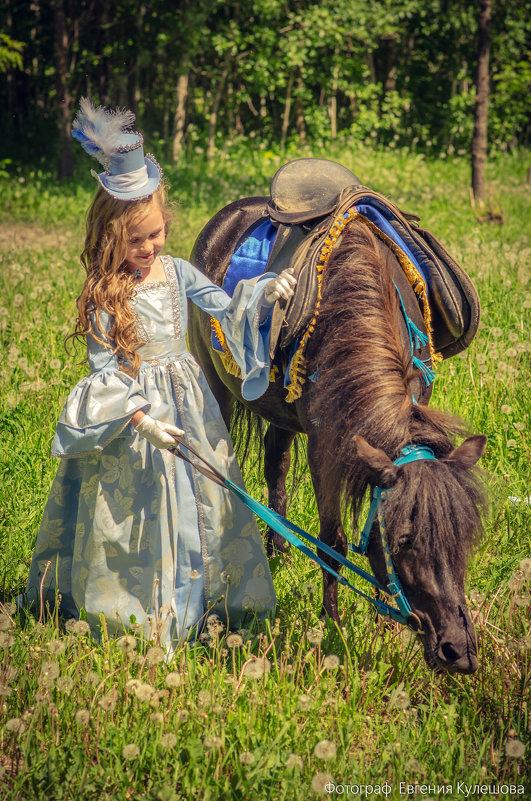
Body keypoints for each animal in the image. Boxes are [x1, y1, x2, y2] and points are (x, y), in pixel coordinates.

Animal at [188, 197, 486, 672]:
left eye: (465, 535)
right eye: (404, 541)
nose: (459, 652)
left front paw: (382, 626)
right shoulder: (324, 447)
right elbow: (335, 542)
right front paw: (335, 627)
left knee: (276, 466)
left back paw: (279, 550)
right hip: (215, 383)